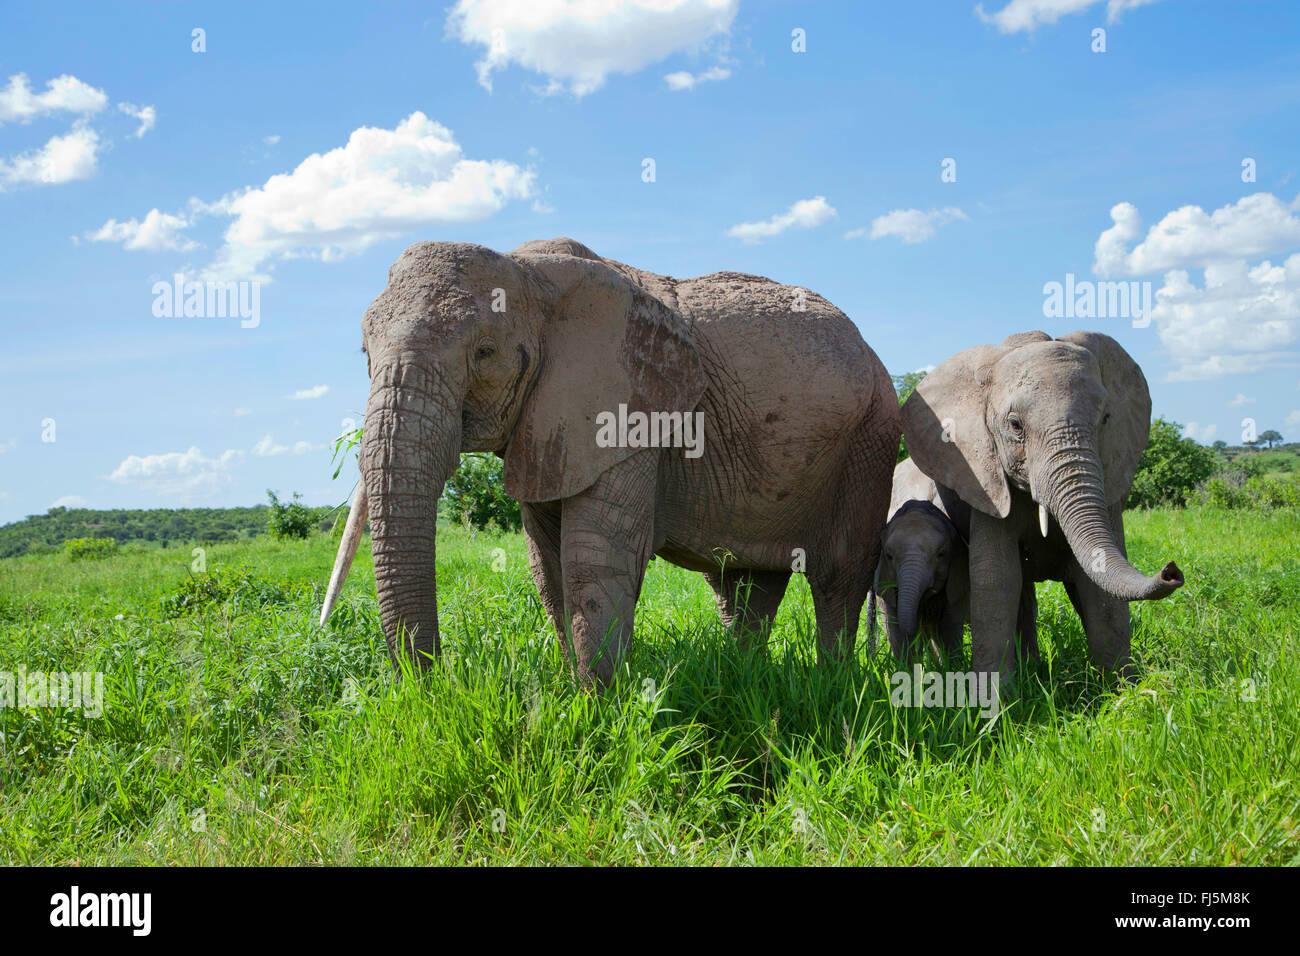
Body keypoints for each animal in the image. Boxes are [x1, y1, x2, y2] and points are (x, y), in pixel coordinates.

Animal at [319, 239, 899, 686]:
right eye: (366, 355)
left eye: (484, 352)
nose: (438, 689)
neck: (529, 271)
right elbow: (547, 566)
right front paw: (573, 693)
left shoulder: (627, 410)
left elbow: (594, 559)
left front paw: (597, 709)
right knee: (746, 587)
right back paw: (747, 679)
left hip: (870, 440)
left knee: (839, 578)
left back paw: (831, 685)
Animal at [899, 329, 1185, 686]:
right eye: (1015, 425)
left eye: (1105, 419)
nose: (1172, 571)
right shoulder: (987, 483)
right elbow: (997, 577)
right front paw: (995, 699)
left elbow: (1099, 583)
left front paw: (1123, 691)